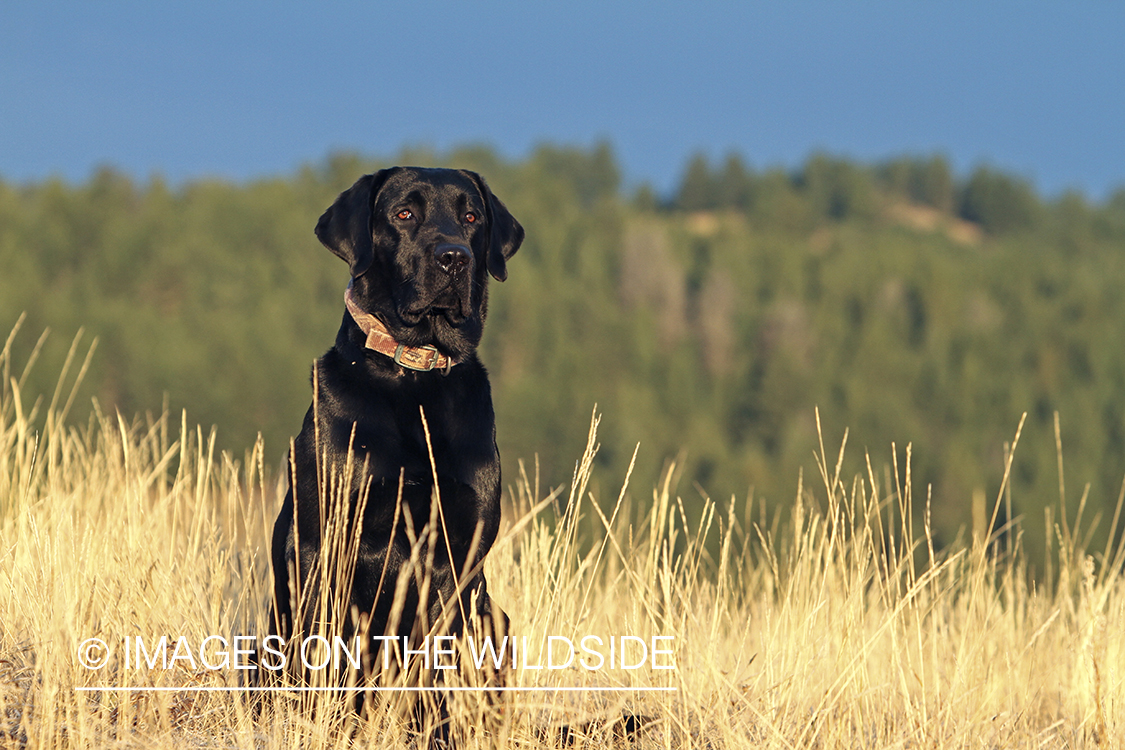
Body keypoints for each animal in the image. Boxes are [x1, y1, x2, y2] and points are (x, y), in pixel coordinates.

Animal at [266, 165, 522, 737]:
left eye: (471, 216)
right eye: (404, 213)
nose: (455, 257)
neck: (414, 378)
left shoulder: (458, 556)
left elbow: (432, 667)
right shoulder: (324, 540)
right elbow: (324, 651)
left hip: (494, 616)